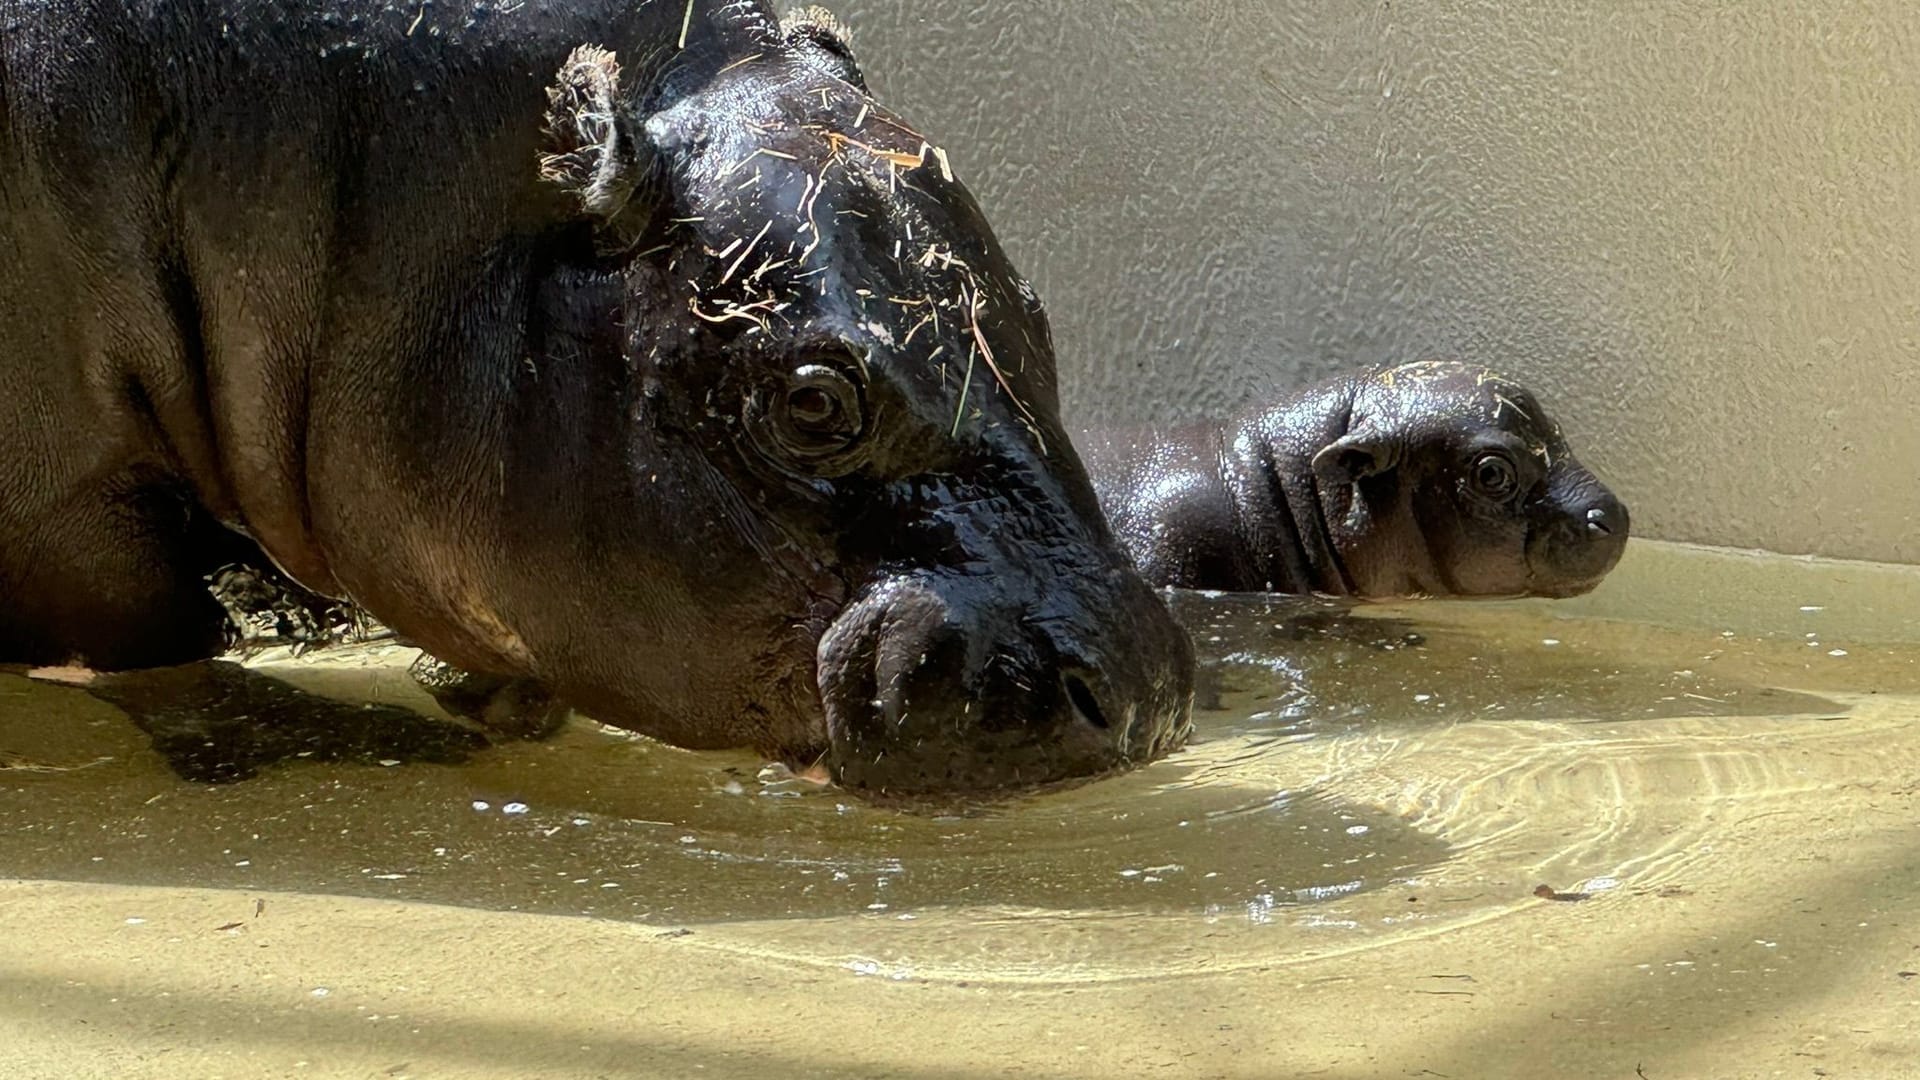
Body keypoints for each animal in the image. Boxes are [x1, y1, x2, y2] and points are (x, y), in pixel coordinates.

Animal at [0, 4, 1190, 795]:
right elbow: (164, 650)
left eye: (1037, 318)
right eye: (812, 405)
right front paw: (368, 743)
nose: (1142, 687)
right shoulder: (70, 513)